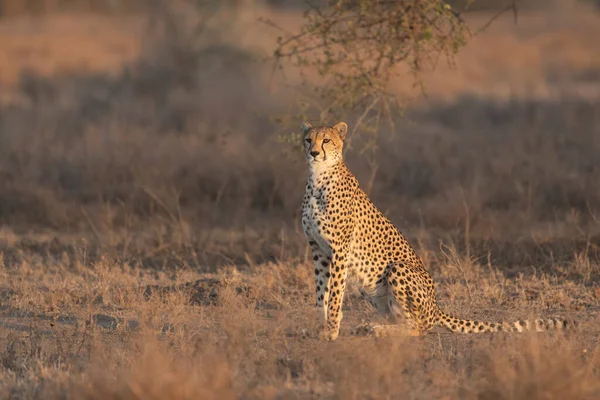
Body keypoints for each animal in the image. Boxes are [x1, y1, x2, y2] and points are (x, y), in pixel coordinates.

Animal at [300, 121, 572, 340]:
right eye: (308, 139)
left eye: (326, 140)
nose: (314, 153)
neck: (318, 177)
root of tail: (437, 307)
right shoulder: (318, 249)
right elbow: (321, 292)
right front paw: (319, 327)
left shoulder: (340, 250)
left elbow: (335, 294)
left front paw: (331, 331)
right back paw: (371, 327)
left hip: (398, 268)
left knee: (419, 327)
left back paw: (378, 330)